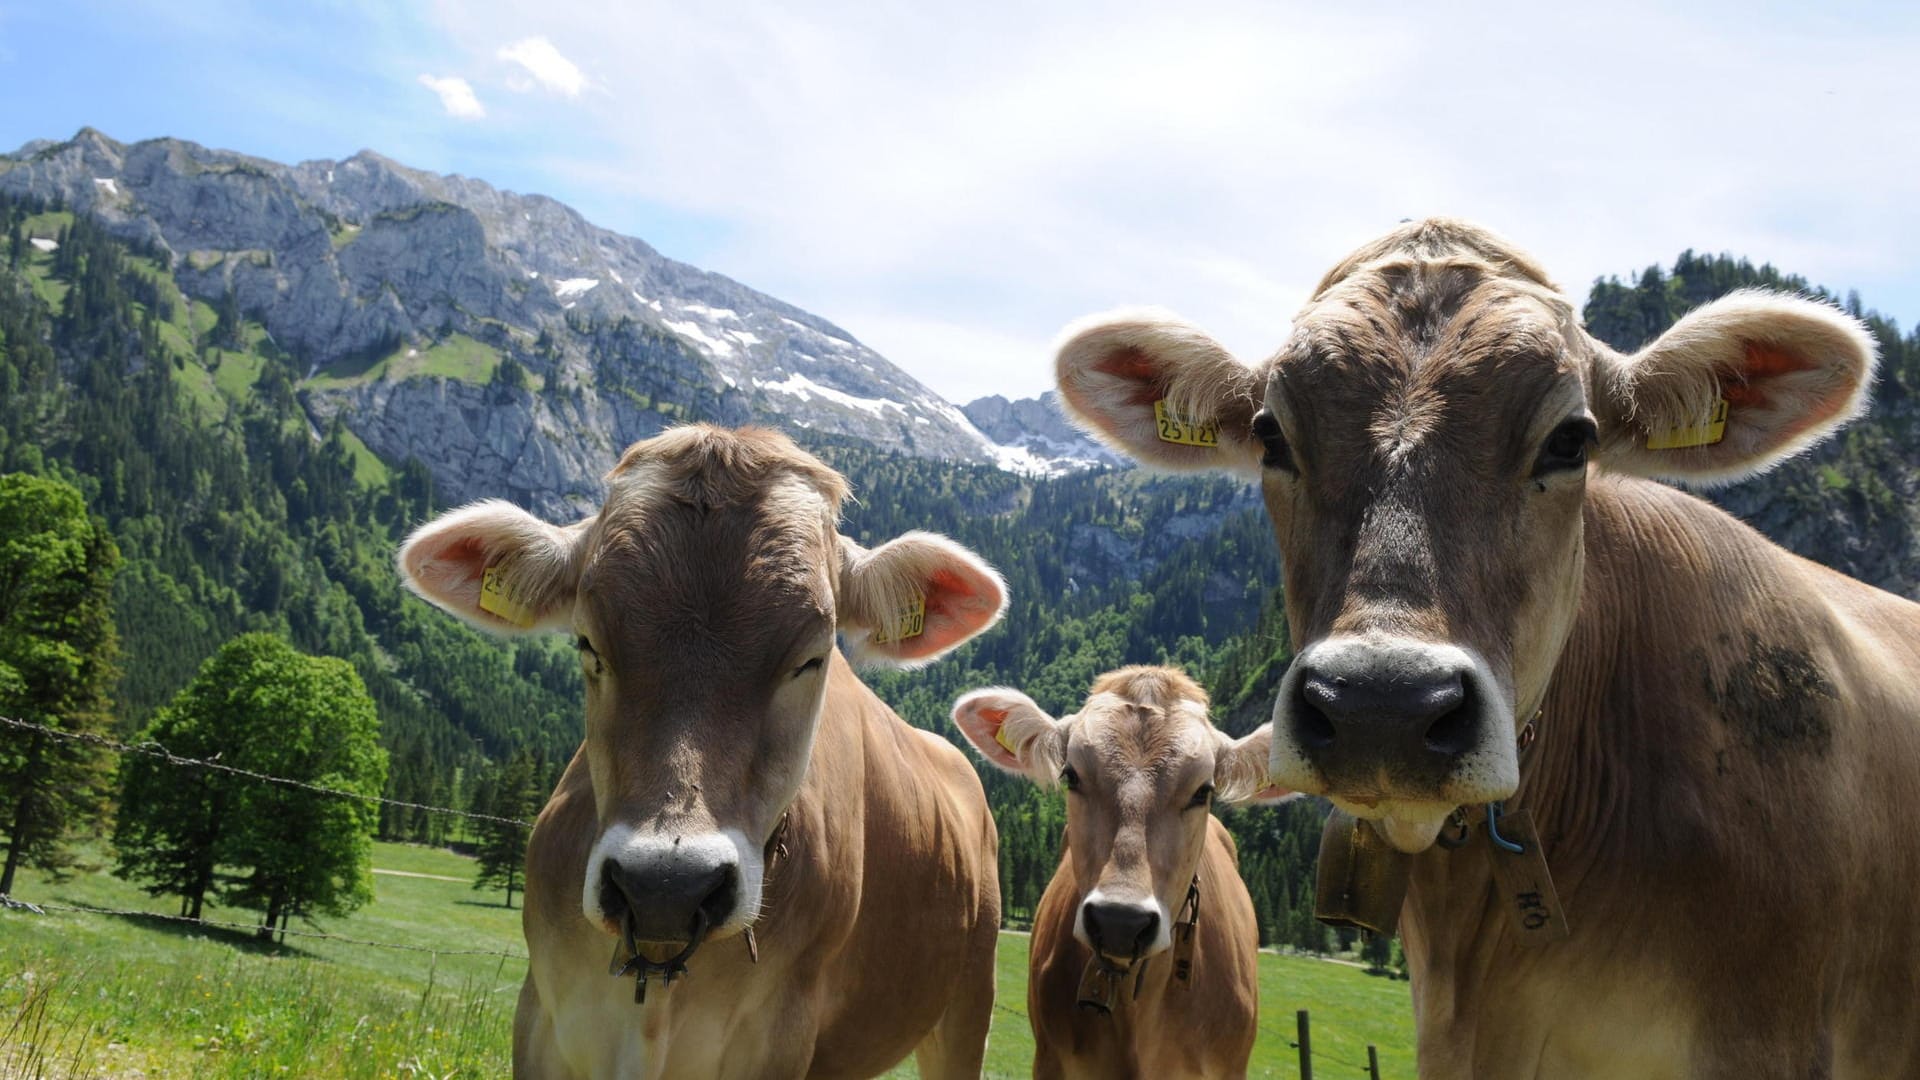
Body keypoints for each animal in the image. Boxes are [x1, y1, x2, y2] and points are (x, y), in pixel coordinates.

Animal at [399, 424, 1013, 1068]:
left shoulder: (780, 1043)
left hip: (971, 1003)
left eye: (813, 657)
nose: (665, 887)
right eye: (587, 642)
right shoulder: (540, 1019)